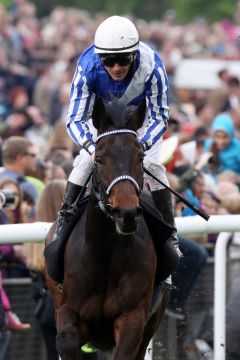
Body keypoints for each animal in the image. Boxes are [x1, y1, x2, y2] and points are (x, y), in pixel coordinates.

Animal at [45, 97, 172, 358]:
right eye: (99, 159)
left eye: (139, 158)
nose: (126, 213)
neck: (104, 251)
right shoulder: (68, 311)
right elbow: (66, 340)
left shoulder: (133, 319)